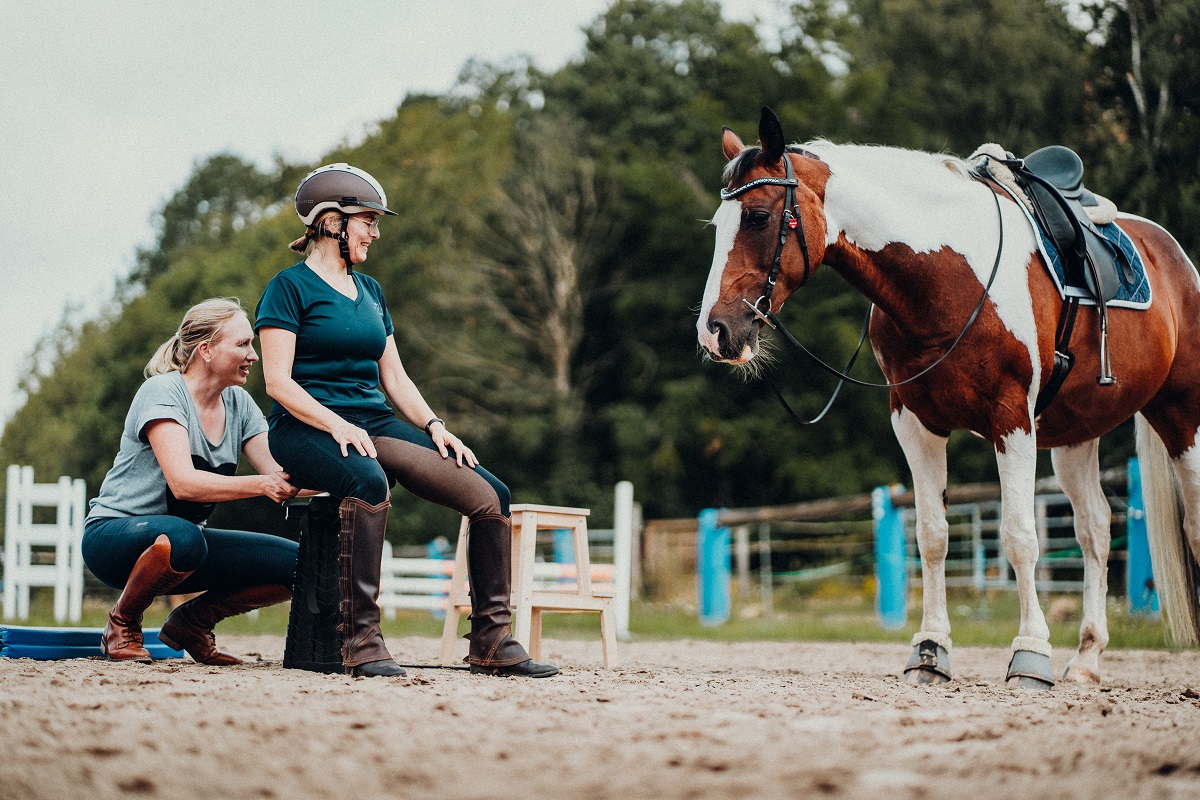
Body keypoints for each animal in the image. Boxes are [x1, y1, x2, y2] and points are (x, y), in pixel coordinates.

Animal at [697, 107, 1200, 687]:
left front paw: (1030, 654)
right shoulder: (916, 423)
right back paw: (1086, 660)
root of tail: (1177, 259)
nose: (715, 331)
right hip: (1077, 434)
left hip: (1182, 415)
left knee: (1191, 523)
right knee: (1095, 529)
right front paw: (930, 650)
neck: (949, 278)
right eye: (717, 225)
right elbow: (932, 535)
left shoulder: (1012, 418)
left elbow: (1019, 535)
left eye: (758, 216)